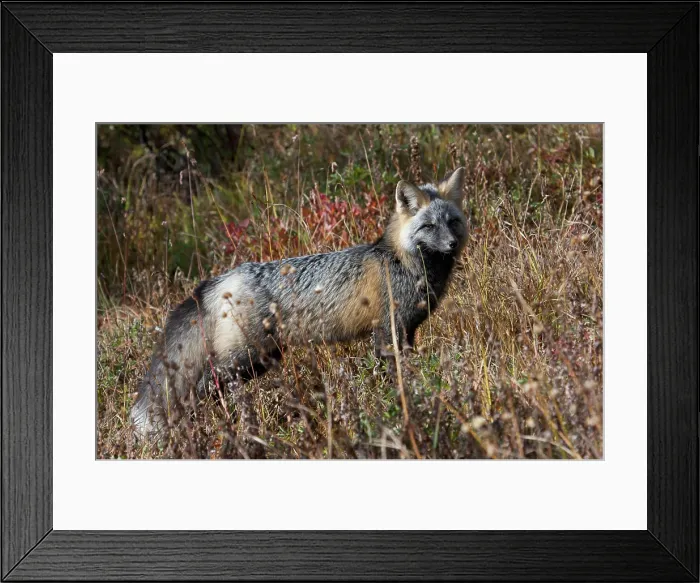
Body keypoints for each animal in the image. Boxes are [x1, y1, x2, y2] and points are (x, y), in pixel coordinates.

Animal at [131, 167, 468, 435]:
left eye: (452, 222)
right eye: (429, 226)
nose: (452, 243)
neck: (404, 264)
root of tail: (223, 279)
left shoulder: (407, 331)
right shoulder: (388, 331)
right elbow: (394, 377)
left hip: (264, 357)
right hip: (245, 358)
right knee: (204, 387)